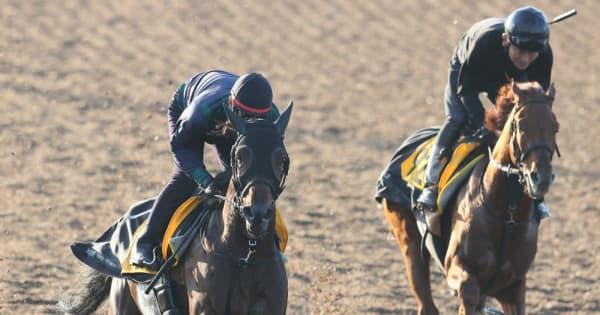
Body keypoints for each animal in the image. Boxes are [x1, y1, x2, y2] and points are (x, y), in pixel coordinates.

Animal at [382, 82, 560, 315]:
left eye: (555, 126)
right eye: (521, 125)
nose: (541, 177)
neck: (506, 214)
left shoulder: (514, 285)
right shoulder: (459, 271)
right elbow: (468, 292)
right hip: (408, 239)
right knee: (426, 302)